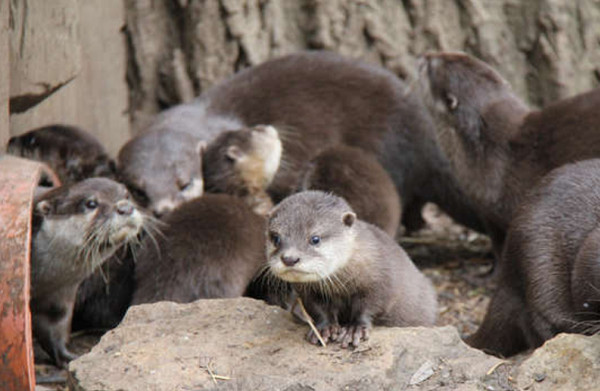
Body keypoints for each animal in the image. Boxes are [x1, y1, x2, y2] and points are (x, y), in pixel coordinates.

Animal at [30, 178, 146, 368]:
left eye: (127, 195)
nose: (125, 208)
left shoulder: (57, 296)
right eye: (91, 203)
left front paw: (69, 358)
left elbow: (54, 328)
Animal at [266, 191, 436, 348]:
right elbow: (318, 308)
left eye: (315, 239)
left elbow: (371, 306)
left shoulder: (382, 282)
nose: (289, 259)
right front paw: (324, 328)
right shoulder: (308, 292)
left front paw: (354, 329)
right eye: (276, 238)